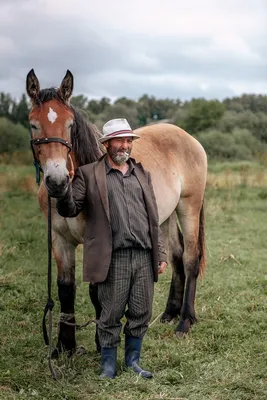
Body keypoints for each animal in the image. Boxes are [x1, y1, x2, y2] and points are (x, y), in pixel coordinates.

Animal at [26, 68, 208, 356]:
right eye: (34, 124)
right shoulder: (59, 240)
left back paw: (184, 321)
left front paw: (102, 342)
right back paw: (170, 313)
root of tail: (187, 137)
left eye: (70, 124)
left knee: (191, 258)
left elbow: (97, 290)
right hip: (163, 217)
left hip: (189, 205)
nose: (57, 181)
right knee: (176, 255)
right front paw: (65, 346)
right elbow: (66, 289)